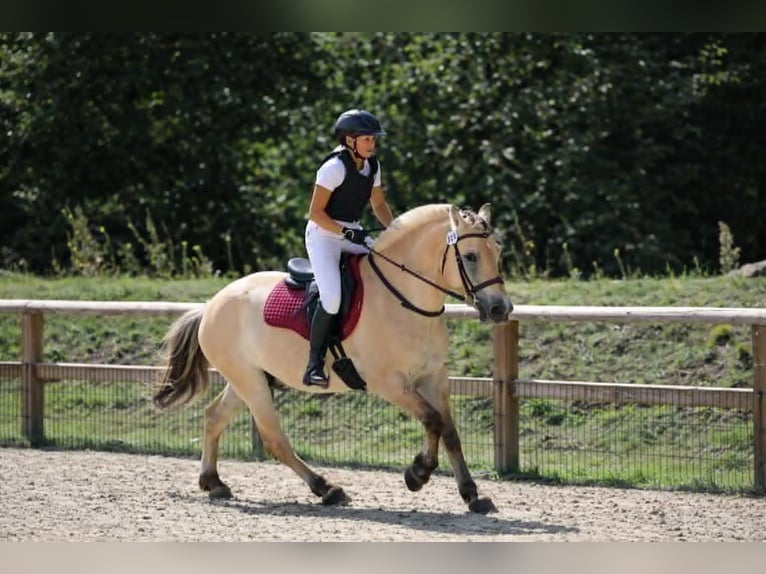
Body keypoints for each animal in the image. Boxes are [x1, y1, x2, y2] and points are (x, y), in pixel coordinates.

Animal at [152, 203, 513, 514]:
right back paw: (326, 488)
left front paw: (472, 495)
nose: (500, 309)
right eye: (470, 256)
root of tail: (211, 304)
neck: (404, 299)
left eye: (497, 254)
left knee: (214, 417)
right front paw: (418, 473)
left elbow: (449, 431)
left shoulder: (434, 376)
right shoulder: (390, 383)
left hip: (249, 379)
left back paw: (213, 482)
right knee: (274, 439)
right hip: (250, 382)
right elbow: (433, 420)